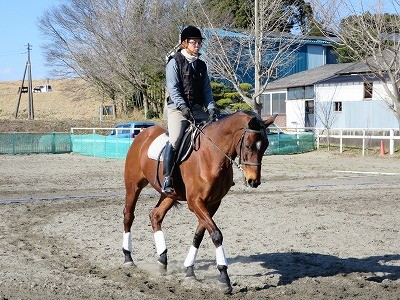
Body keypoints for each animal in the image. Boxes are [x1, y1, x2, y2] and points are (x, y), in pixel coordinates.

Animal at [122, 110, 276, 292]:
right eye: (248, 145)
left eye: (265, 146)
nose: (253, 181)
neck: (211, 155)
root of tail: (143, 133)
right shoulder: (195, 203)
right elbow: (216, 235)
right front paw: (224, 277)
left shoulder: (213, 203)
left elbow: (199, 235)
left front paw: (189, 271)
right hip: (133, 186)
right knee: (128, 216)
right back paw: (128, 258)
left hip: (169, 195)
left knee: (155, 216)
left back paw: (162, 259)